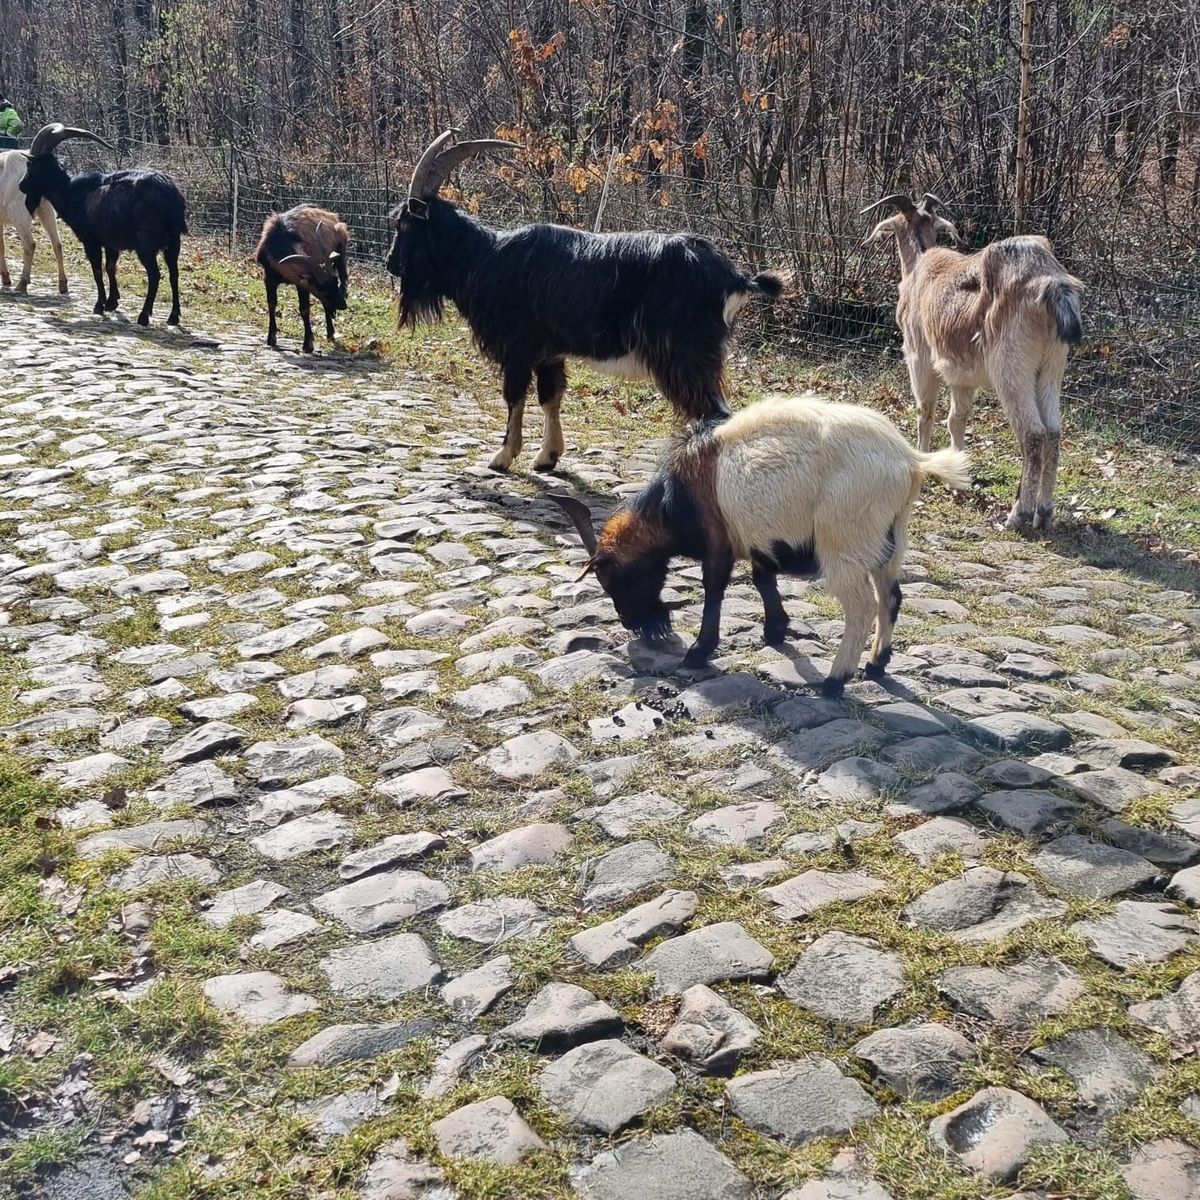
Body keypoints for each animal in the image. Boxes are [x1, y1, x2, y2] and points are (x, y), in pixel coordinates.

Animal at [0, 147, 67, 295]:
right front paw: (6, 278)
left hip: (19, 214)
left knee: (30, 244)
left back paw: (22, 284)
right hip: (47, 211)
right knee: (57, 244)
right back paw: (63, 285)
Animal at [19, 121, 187, 324]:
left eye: (30, 166)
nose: (21, 185)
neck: (69, 191)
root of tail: (171, 197)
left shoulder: (91, 241)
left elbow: (97, 269)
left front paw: (99, 305)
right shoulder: (111, 243)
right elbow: (110, 267)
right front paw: (112, 302)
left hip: (146, 245)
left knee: (155, 274)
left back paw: (144, 316)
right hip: (173, 242)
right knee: (174, 273)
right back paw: (173, 317)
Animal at [253, 204, 348, 352]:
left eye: (334, 283)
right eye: (322, 290)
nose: (343, 305)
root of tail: (333, 217)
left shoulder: (303, 284)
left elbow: (304, 309)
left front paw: (308, 344)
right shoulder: (269, 277)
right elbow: (271, 304)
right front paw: (271, 338)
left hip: (341, 254)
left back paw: (331, 334)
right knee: (326, 304)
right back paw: (330, 332)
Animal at [549, 388, 969, 700]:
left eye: (615, 579)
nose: (633, 624)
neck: (675, 497)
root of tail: (911, 462)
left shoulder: (718, 540)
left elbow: (714, 589)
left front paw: (698, 652)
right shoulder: (758, 539)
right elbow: (762, 578)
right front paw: (775, 630)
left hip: (845, 542)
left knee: (862, 607)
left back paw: (835, 681)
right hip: (889, 540)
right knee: (891, 597)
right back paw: (876, 664)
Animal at [864, 192, 1089, 530]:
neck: (920, 263)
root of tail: (1052, 284)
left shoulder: (919, 355)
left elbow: (925, 411)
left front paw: (924, 461)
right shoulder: (962, 375)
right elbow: (957, 417)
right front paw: (958, 470)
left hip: (1010, 367)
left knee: (1033, 435)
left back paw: (1018, 514)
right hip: (1051, 367)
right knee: (1053, 432)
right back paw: (1044, 513)